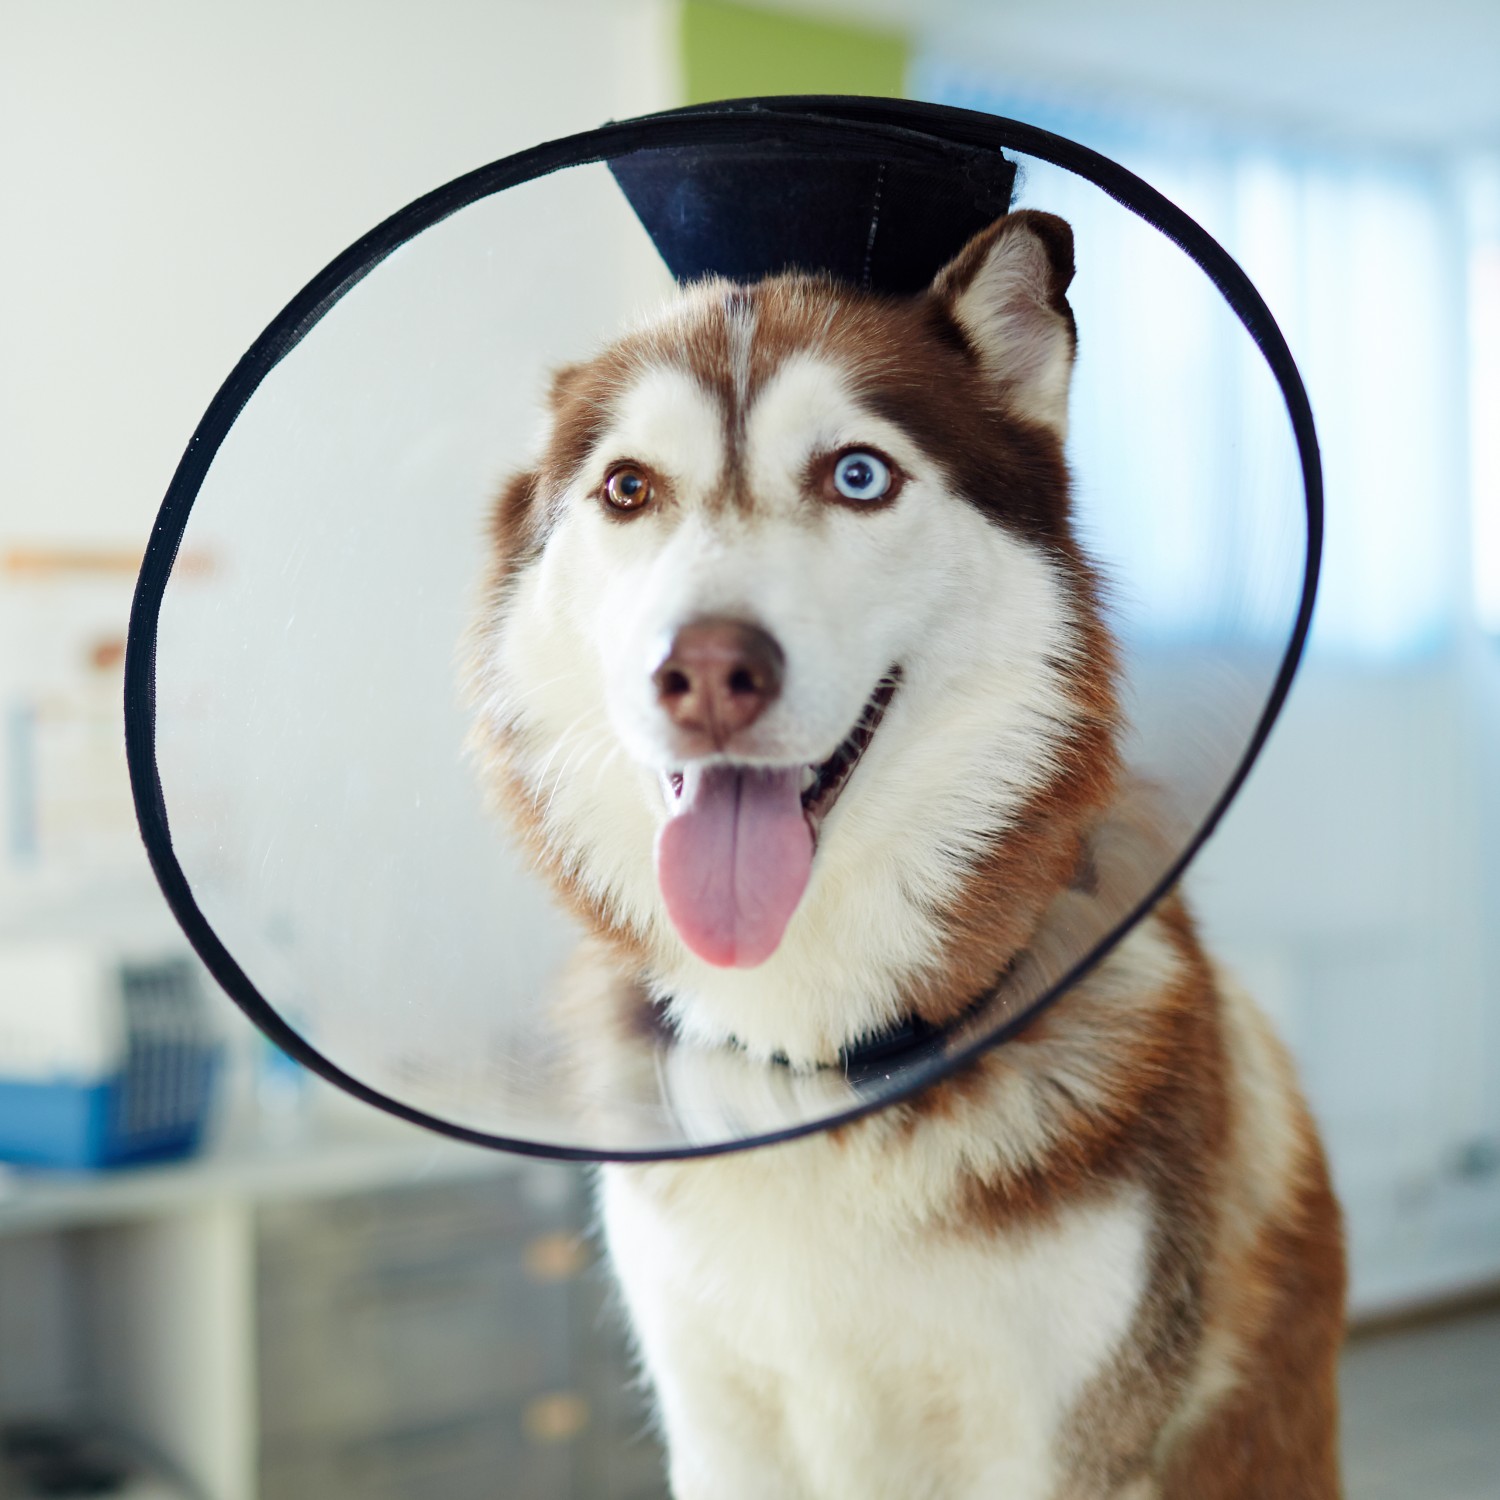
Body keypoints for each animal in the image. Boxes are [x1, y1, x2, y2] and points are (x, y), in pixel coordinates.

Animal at [462, 211, 1344, 1500]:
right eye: (628, 488)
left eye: (857, 474)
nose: (706, 671)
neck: (818, 1066)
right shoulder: (715, 1426)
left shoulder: (1064, 1442)